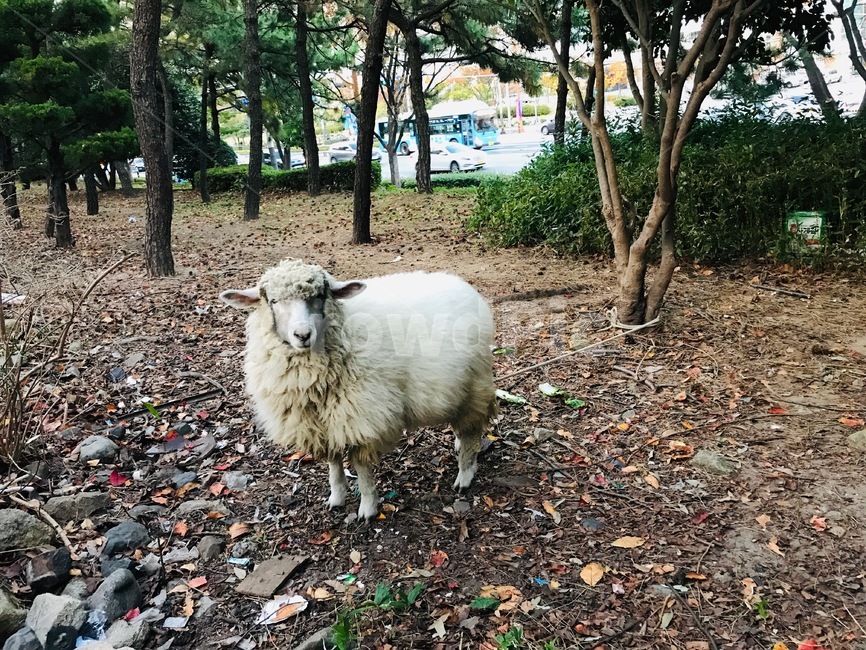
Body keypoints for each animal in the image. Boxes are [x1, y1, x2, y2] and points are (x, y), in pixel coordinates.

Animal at [219, 258, 497, 520]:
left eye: (319, 296)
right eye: (273, 301)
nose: (302, 335)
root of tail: (463, 284)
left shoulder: (360, 417)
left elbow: (361, 469)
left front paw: (368, 508)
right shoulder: (323, 423)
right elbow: (333, 463)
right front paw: (336, 497)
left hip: (474, 382)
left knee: (472, 429)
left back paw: (465, 473)